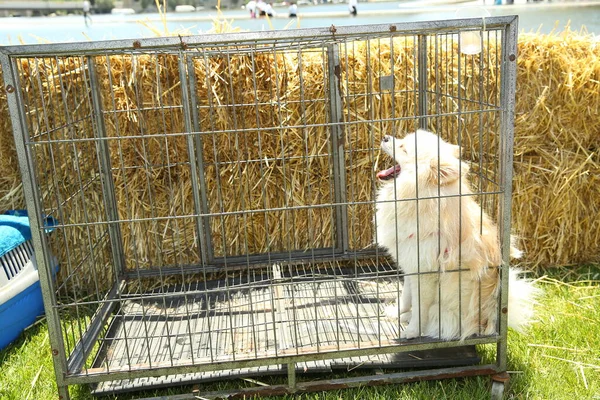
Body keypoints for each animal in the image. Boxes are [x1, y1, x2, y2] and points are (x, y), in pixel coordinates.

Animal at [376, 129, 540, 340]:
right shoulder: (410, 264)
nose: (385, 137)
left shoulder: (425, 275)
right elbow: (406, 296)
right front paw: (397, 312)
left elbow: (420, 309)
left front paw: (411, 331)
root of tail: (492, 317)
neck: (422, 197)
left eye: (404, 148)